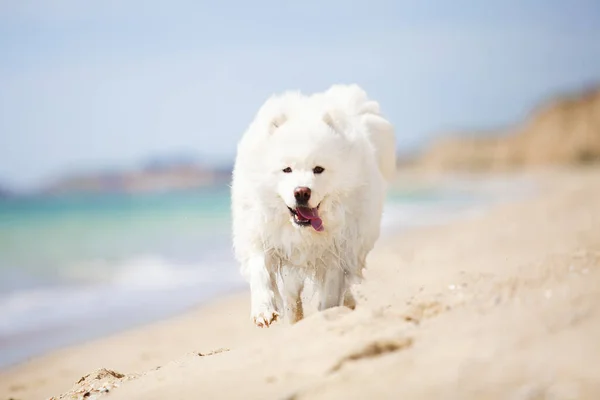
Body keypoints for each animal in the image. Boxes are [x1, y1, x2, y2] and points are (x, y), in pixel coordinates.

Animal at [232, 84, 396, 328]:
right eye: (287, 169)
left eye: (318, 169)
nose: (302, 192)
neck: (304, 231)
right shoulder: (262, 236)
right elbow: (260, 272)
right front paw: (263, 310)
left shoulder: (338, 251)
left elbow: (331, 292)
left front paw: (327, 314)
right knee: (292, 295)